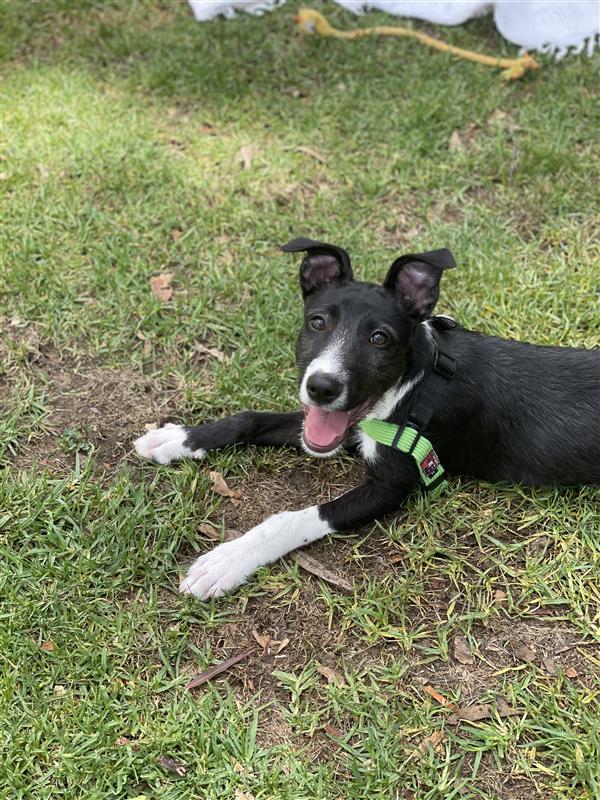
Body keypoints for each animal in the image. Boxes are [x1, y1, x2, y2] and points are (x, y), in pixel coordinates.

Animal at [134, 238, 600, 600]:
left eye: (380, 338)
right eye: (317, 322)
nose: (322, 387)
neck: (415, 384)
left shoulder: (390, 486)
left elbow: (291, 519)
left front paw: (228, 560)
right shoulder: (336, 428)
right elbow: (249, 418)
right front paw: (178, 439)